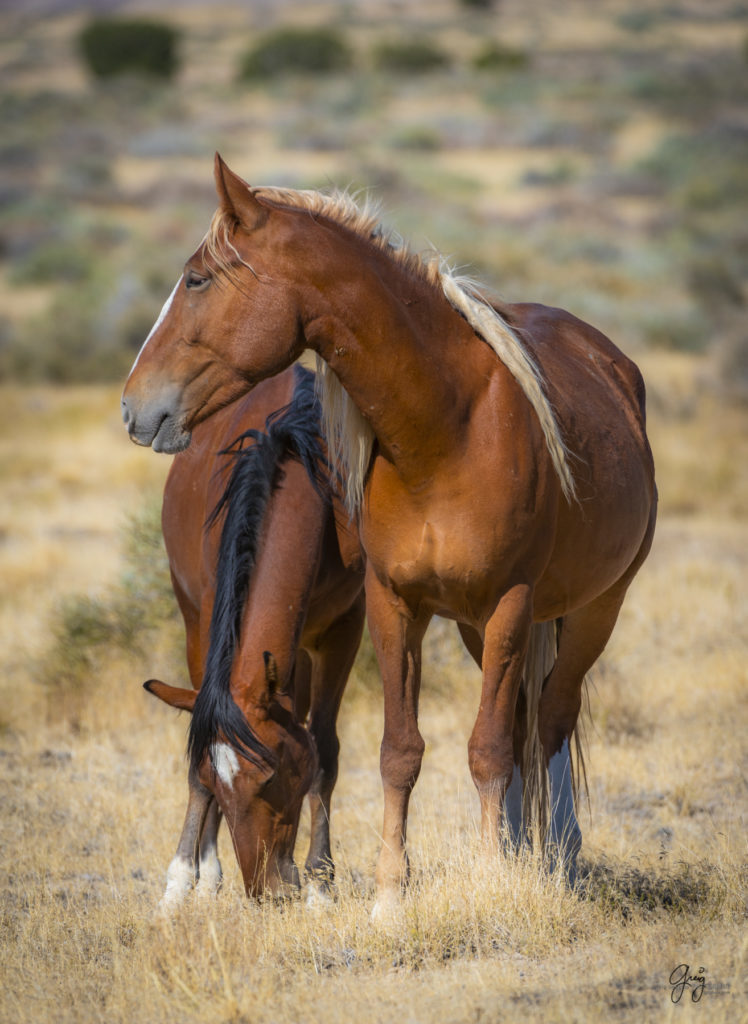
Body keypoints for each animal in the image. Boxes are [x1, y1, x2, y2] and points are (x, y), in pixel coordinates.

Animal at [142, 364, 364, 901]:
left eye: (272, 777)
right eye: (223, 788)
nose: (268, 891)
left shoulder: (343, 627)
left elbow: (324, 747)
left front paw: (320, 883)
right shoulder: (206, 623)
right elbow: (198, 752)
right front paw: (183, 880)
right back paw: (200, 877)